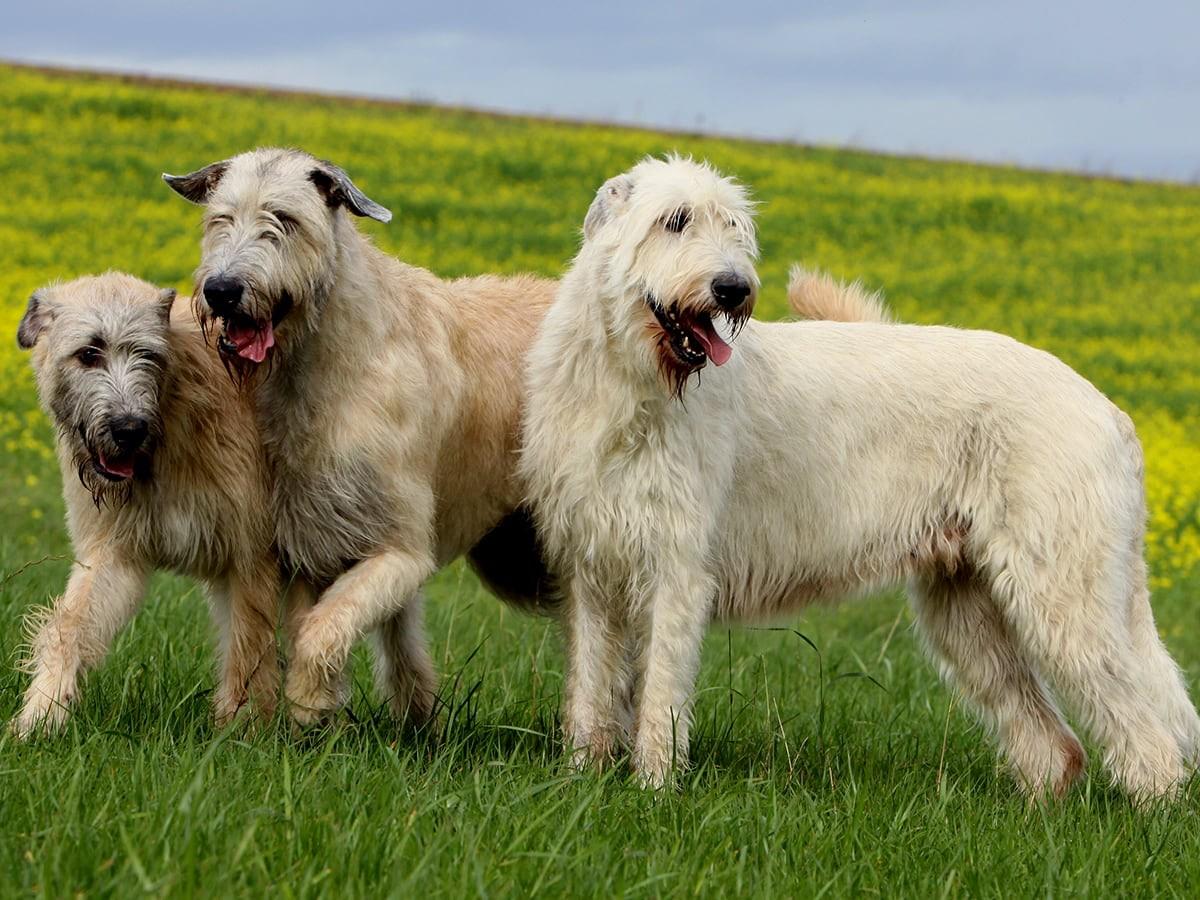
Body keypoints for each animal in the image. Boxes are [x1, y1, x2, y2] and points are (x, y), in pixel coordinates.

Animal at [12, 274, 278, 739]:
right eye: (88, 354)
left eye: (147, 354)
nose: (129, 429)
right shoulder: (112, 551)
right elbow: (71, 625)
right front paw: (42, 713)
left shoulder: (252, 558)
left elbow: (249, 649)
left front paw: (242, 735)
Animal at [165, 148, 556, 724]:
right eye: (220, 219)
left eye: (284, 220)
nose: (221, 291)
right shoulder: (310, 538)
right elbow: (318, 619)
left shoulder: (401, 549)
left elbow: (325, 626)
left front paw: (308, 702)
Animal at [523, 158, 1200, 801]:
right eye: (675, 220)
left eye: (734, 226)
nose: (733, 288)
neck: (629, 382)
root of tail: (1111, 413)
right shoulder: (590, 568)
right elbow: (589, 687)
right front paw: (580, 785)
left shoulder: (677, 569)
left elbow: (661, 689)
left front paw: (654, 791)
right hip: (969, 609)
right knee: (1054, 744)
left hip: (1063, 590)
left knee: (1147, 732)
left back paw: (1151, 815)